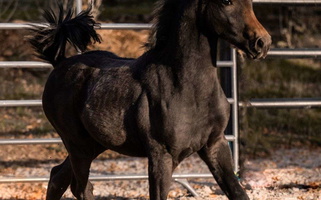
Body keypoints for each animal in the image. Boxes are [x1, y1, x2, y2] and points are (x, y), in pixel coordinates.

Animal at [29, 0, 270, 199]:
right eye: (226, 1)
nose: (262, 43)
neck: (186, 88)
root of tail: (59, 63)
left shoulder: (215, 145)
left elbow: (238, 193)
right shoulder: (161, 155)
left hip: (92, 144)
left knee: (57, 178)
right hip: (77, 144)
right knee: (80, 188)